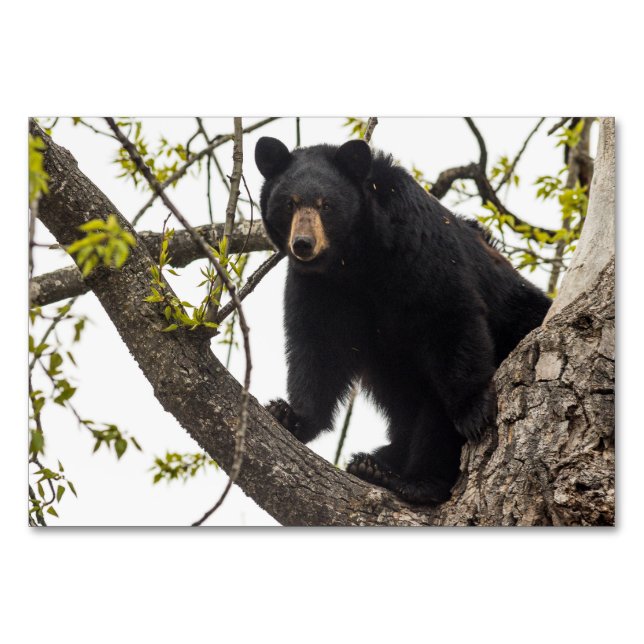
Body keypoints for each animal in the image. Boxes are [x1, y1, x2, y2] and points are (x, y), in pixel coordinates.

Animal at [255, 136, 551, 505]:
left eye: (326, 205)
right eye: (289, 203)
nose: (303, 244)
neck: (355, 259)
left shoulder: (417, 247)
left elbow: (448, 316)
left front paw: (472, 411)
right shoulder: (321, 287)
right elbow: (318, 345)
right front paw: (291, 414)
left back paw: (413, 480)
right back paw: (375, 463)